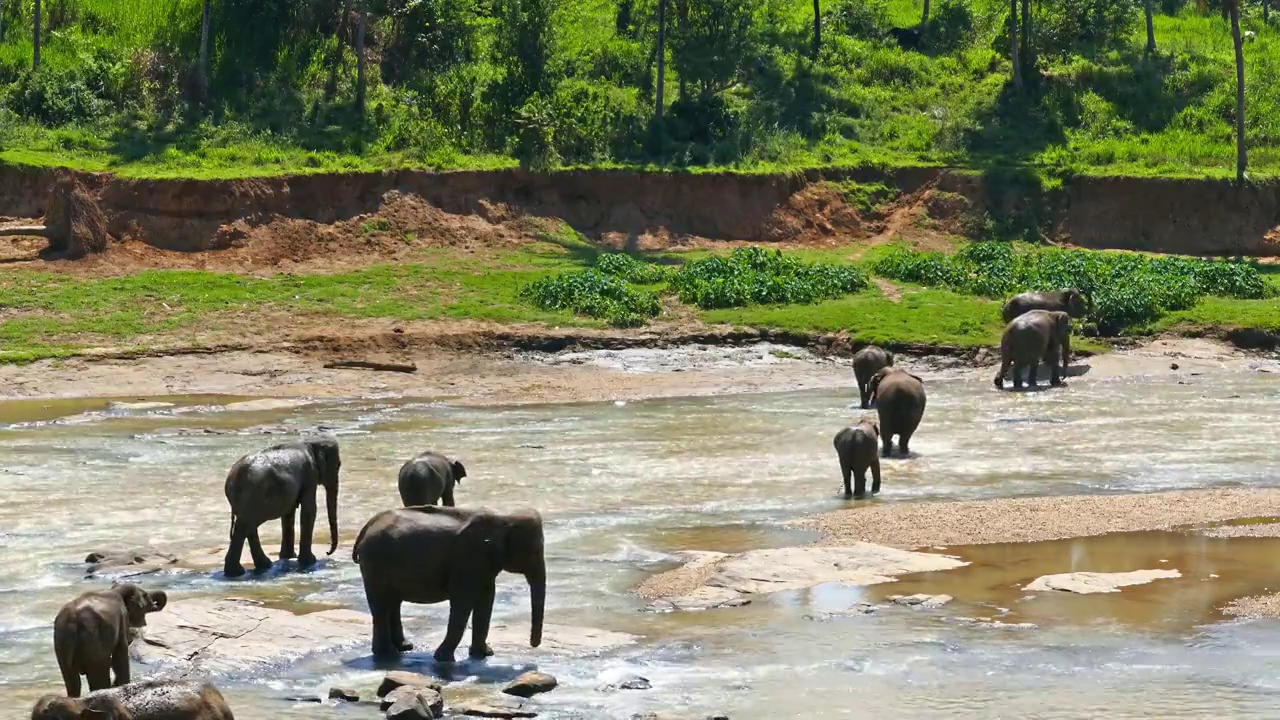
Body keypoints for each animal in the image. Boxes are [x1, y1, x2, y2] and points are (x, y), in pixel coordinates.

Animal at [222, 430, 340, 576]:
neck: (312, 442)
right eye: (338, 466)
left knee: (248, 526)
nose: (327, 552)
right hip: (253, 495)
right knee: (245, 526)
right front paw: (310, 561)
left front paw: (289, 557)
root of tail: (234, 477)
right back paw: (237, 572)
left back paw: (263, 565)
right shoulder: (310, 475)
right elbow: (309, 510)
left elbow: (289, 513)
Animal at [350, 502, 545, 661]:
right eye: (534, 550)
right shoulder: (468, 556)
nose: (532, 645)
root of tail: (367, 526)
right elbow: (463, 601)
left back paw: (404, 647)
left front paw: (484, 654)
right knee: (381, 604)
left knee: (392, 602)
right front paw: (443, 658)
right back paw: (387, 654)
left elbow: (486, 598)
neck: (503, 515)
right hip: (375, 563)